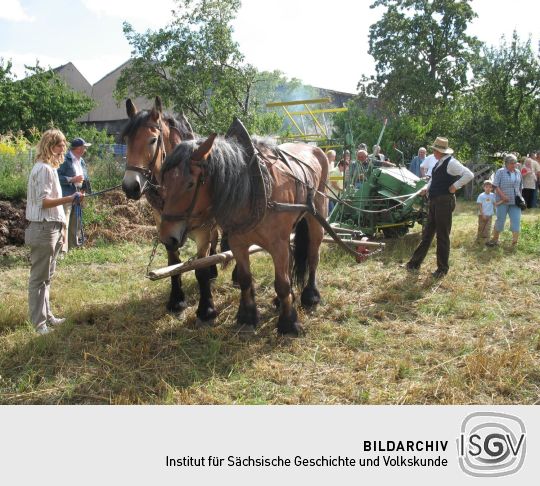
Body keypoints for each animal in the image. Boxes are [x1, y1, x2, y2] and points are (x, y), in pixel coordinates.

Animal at [121, 97, 218, 322]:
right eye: (126, 140)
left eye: (152, 140)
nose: (130, 187)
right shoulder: (163, 225)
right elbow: (173, 261)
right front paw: (176, 300)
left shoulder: (203, 230)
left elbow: (200, 268)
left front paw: (206, 309)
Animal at [158, 119, 326, 336]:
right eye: (164, 181)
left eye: (190, 184)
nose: (166, 237)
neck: (254, 188)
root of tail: (315, 148)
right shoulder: (238, 243)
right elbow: (245, 279)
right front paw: (247, 316)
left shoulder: (277, 244)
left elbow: (282, 283)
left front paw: (289, 323)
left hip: (316, 217)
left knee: (313, 256)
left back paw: (310, 296)